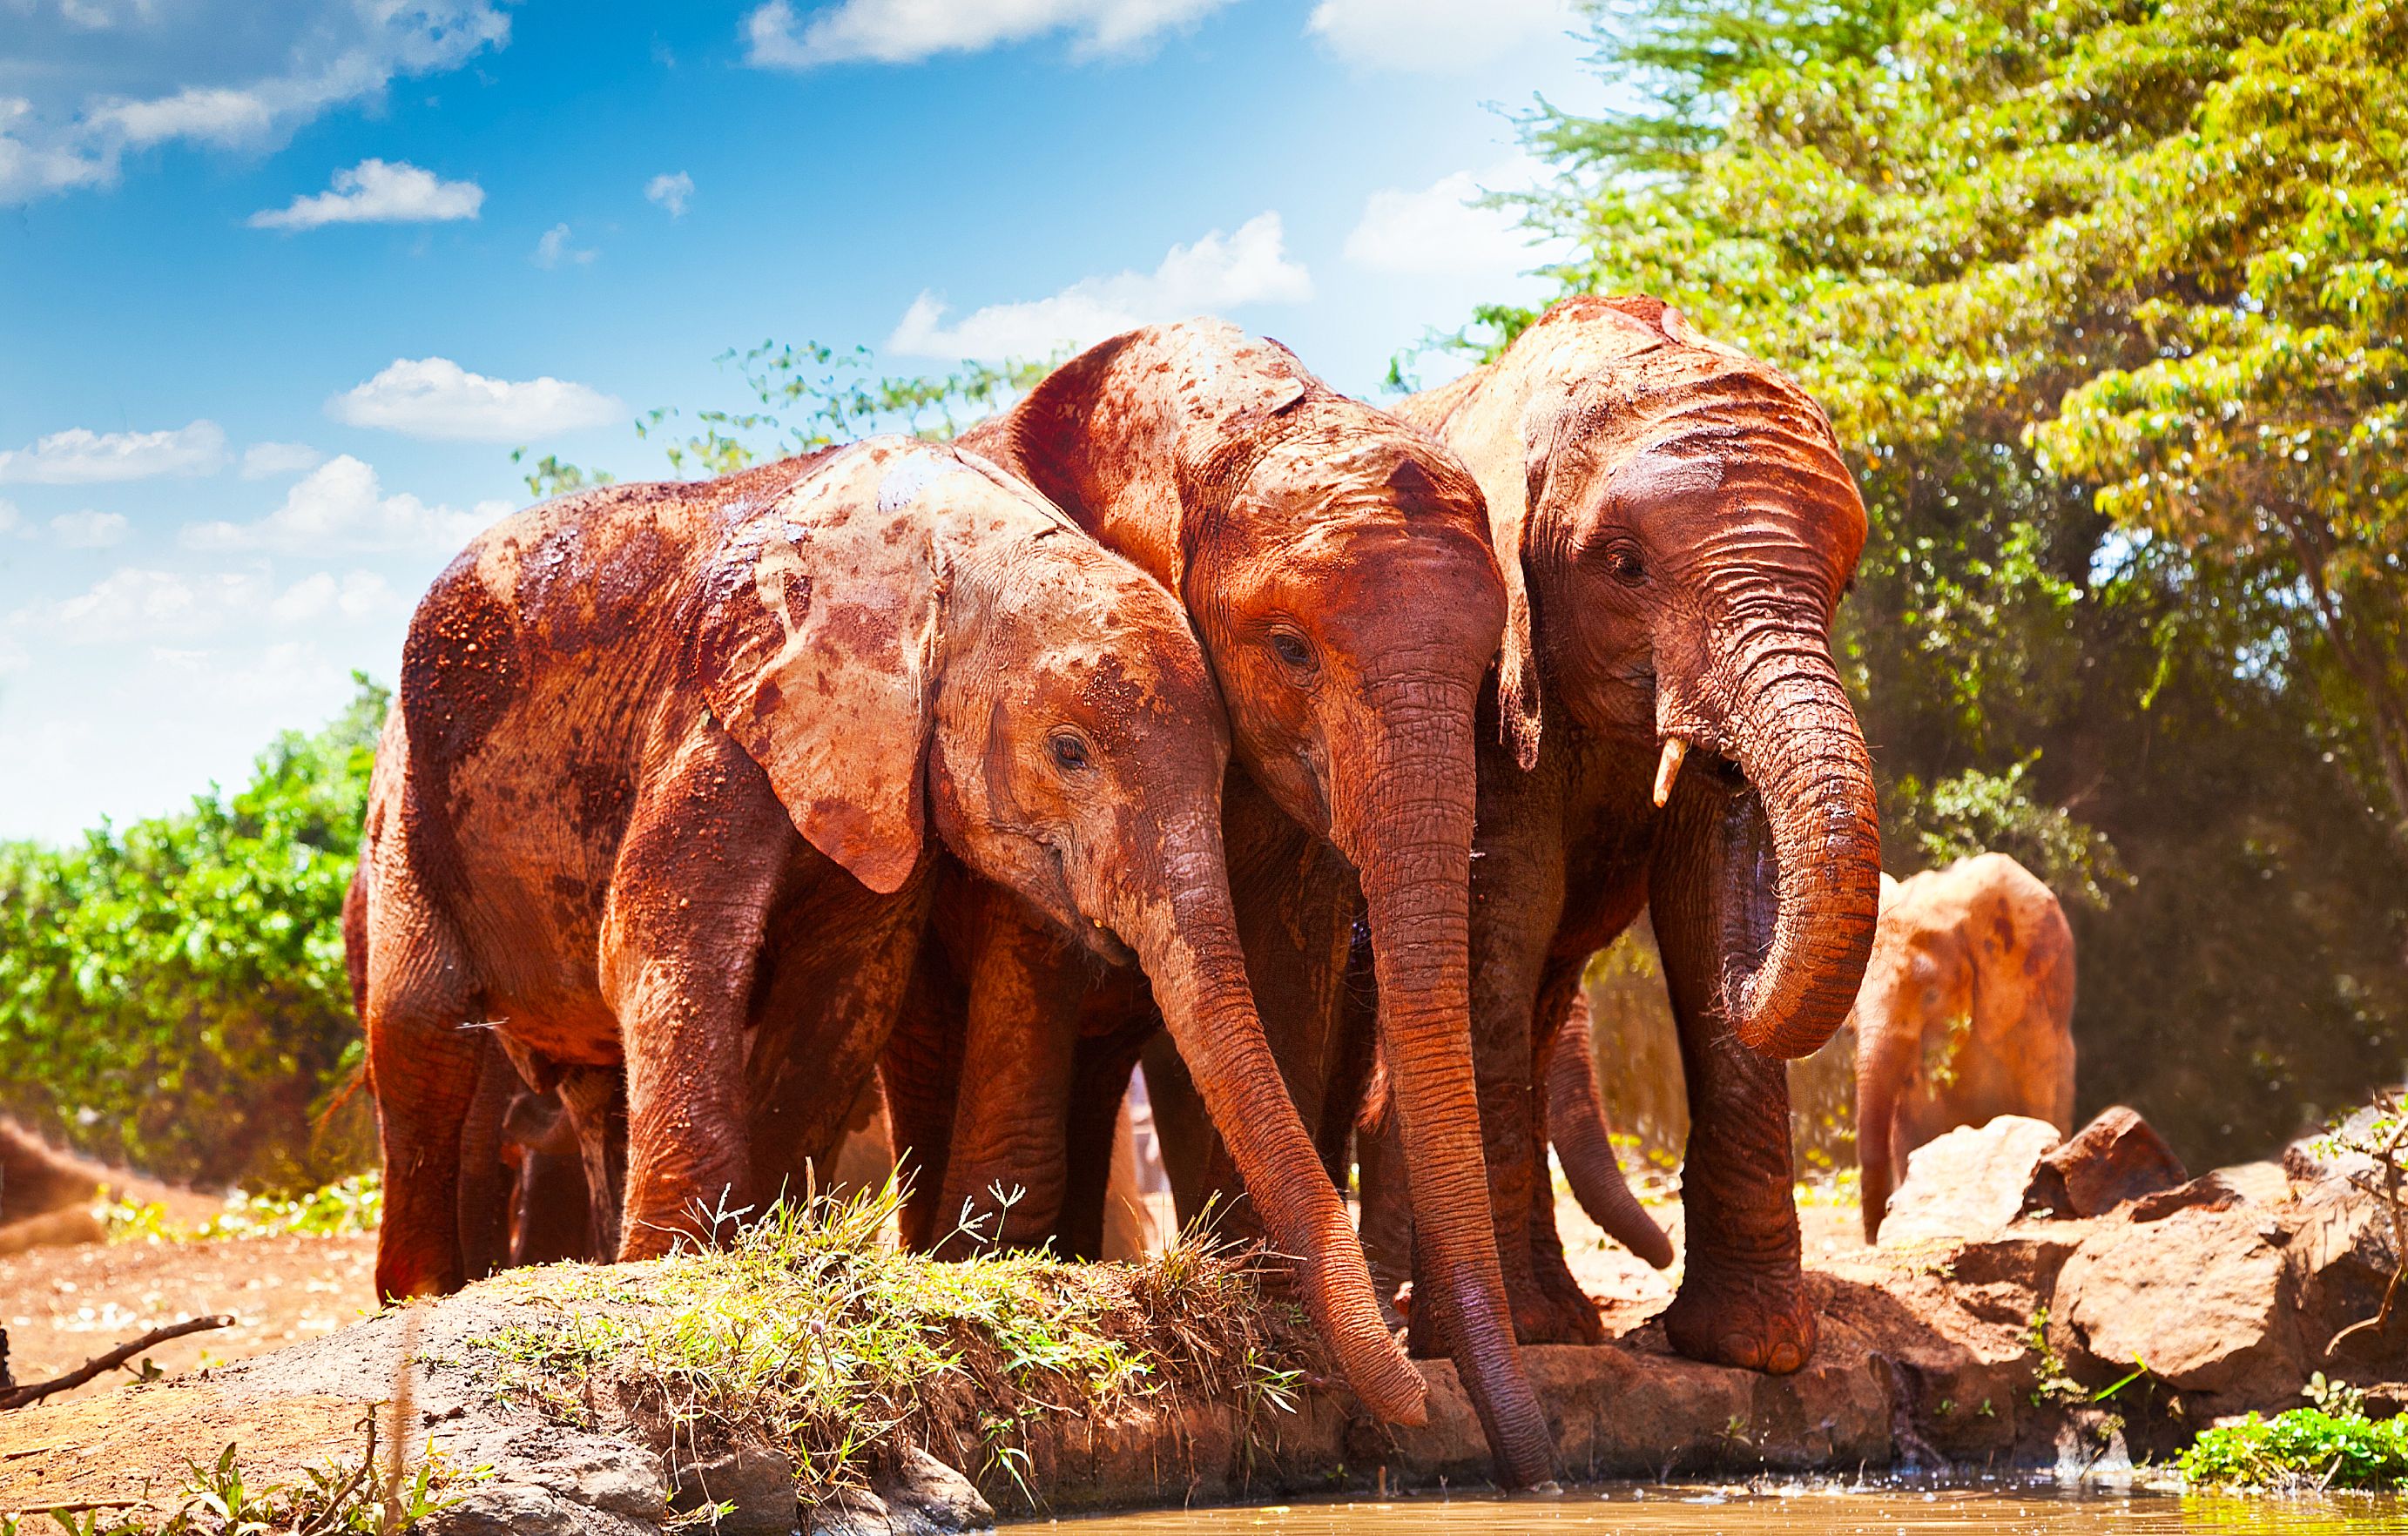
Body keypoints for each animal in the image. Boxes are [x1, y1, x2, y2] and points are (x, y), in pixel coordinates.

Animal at [348, 436, 1425, 1430]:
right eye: (1068, 752)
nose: (1414, 1397)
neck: (945, 562)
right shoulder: (718, 704)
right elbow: (664, 939)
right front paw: (677, 1275)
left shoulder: (880, 769)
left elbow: (847, 986)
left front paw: (756, 1256)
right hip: (407, 795)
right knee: (420, 1029)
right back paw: (427, 1294)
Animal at [877, 320, 1557, 1486]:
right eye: (1288, 650)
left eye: (1485, 673)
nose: (1538, 1466)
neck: (1209, 426)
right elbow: (1039, 942)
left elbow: (1289, 959)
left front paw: (1268, 1300)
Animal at [1360, 295, 1883, 1374]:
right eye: (1625, 569)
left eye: (1841, 584)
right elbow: (1499, 907)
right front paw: (1530, 1338)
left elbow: (1700, 892)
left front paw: (1748, 1348)